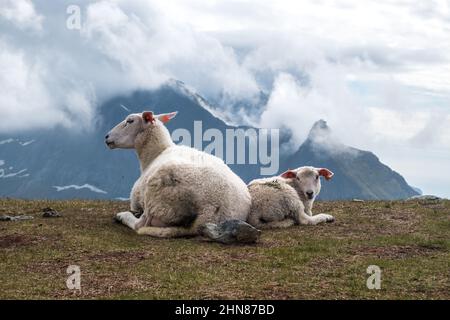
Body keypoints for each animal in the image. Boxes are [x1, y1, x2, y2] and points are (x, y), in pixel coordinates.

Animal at [105, 111, 260, 244]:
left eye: (130, 121)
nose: (106, 137)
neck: (155, 154)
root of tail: (209, 211)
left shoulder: (137, 200)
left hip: (156, 197)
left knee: (140, 224)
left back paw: (122, 216)